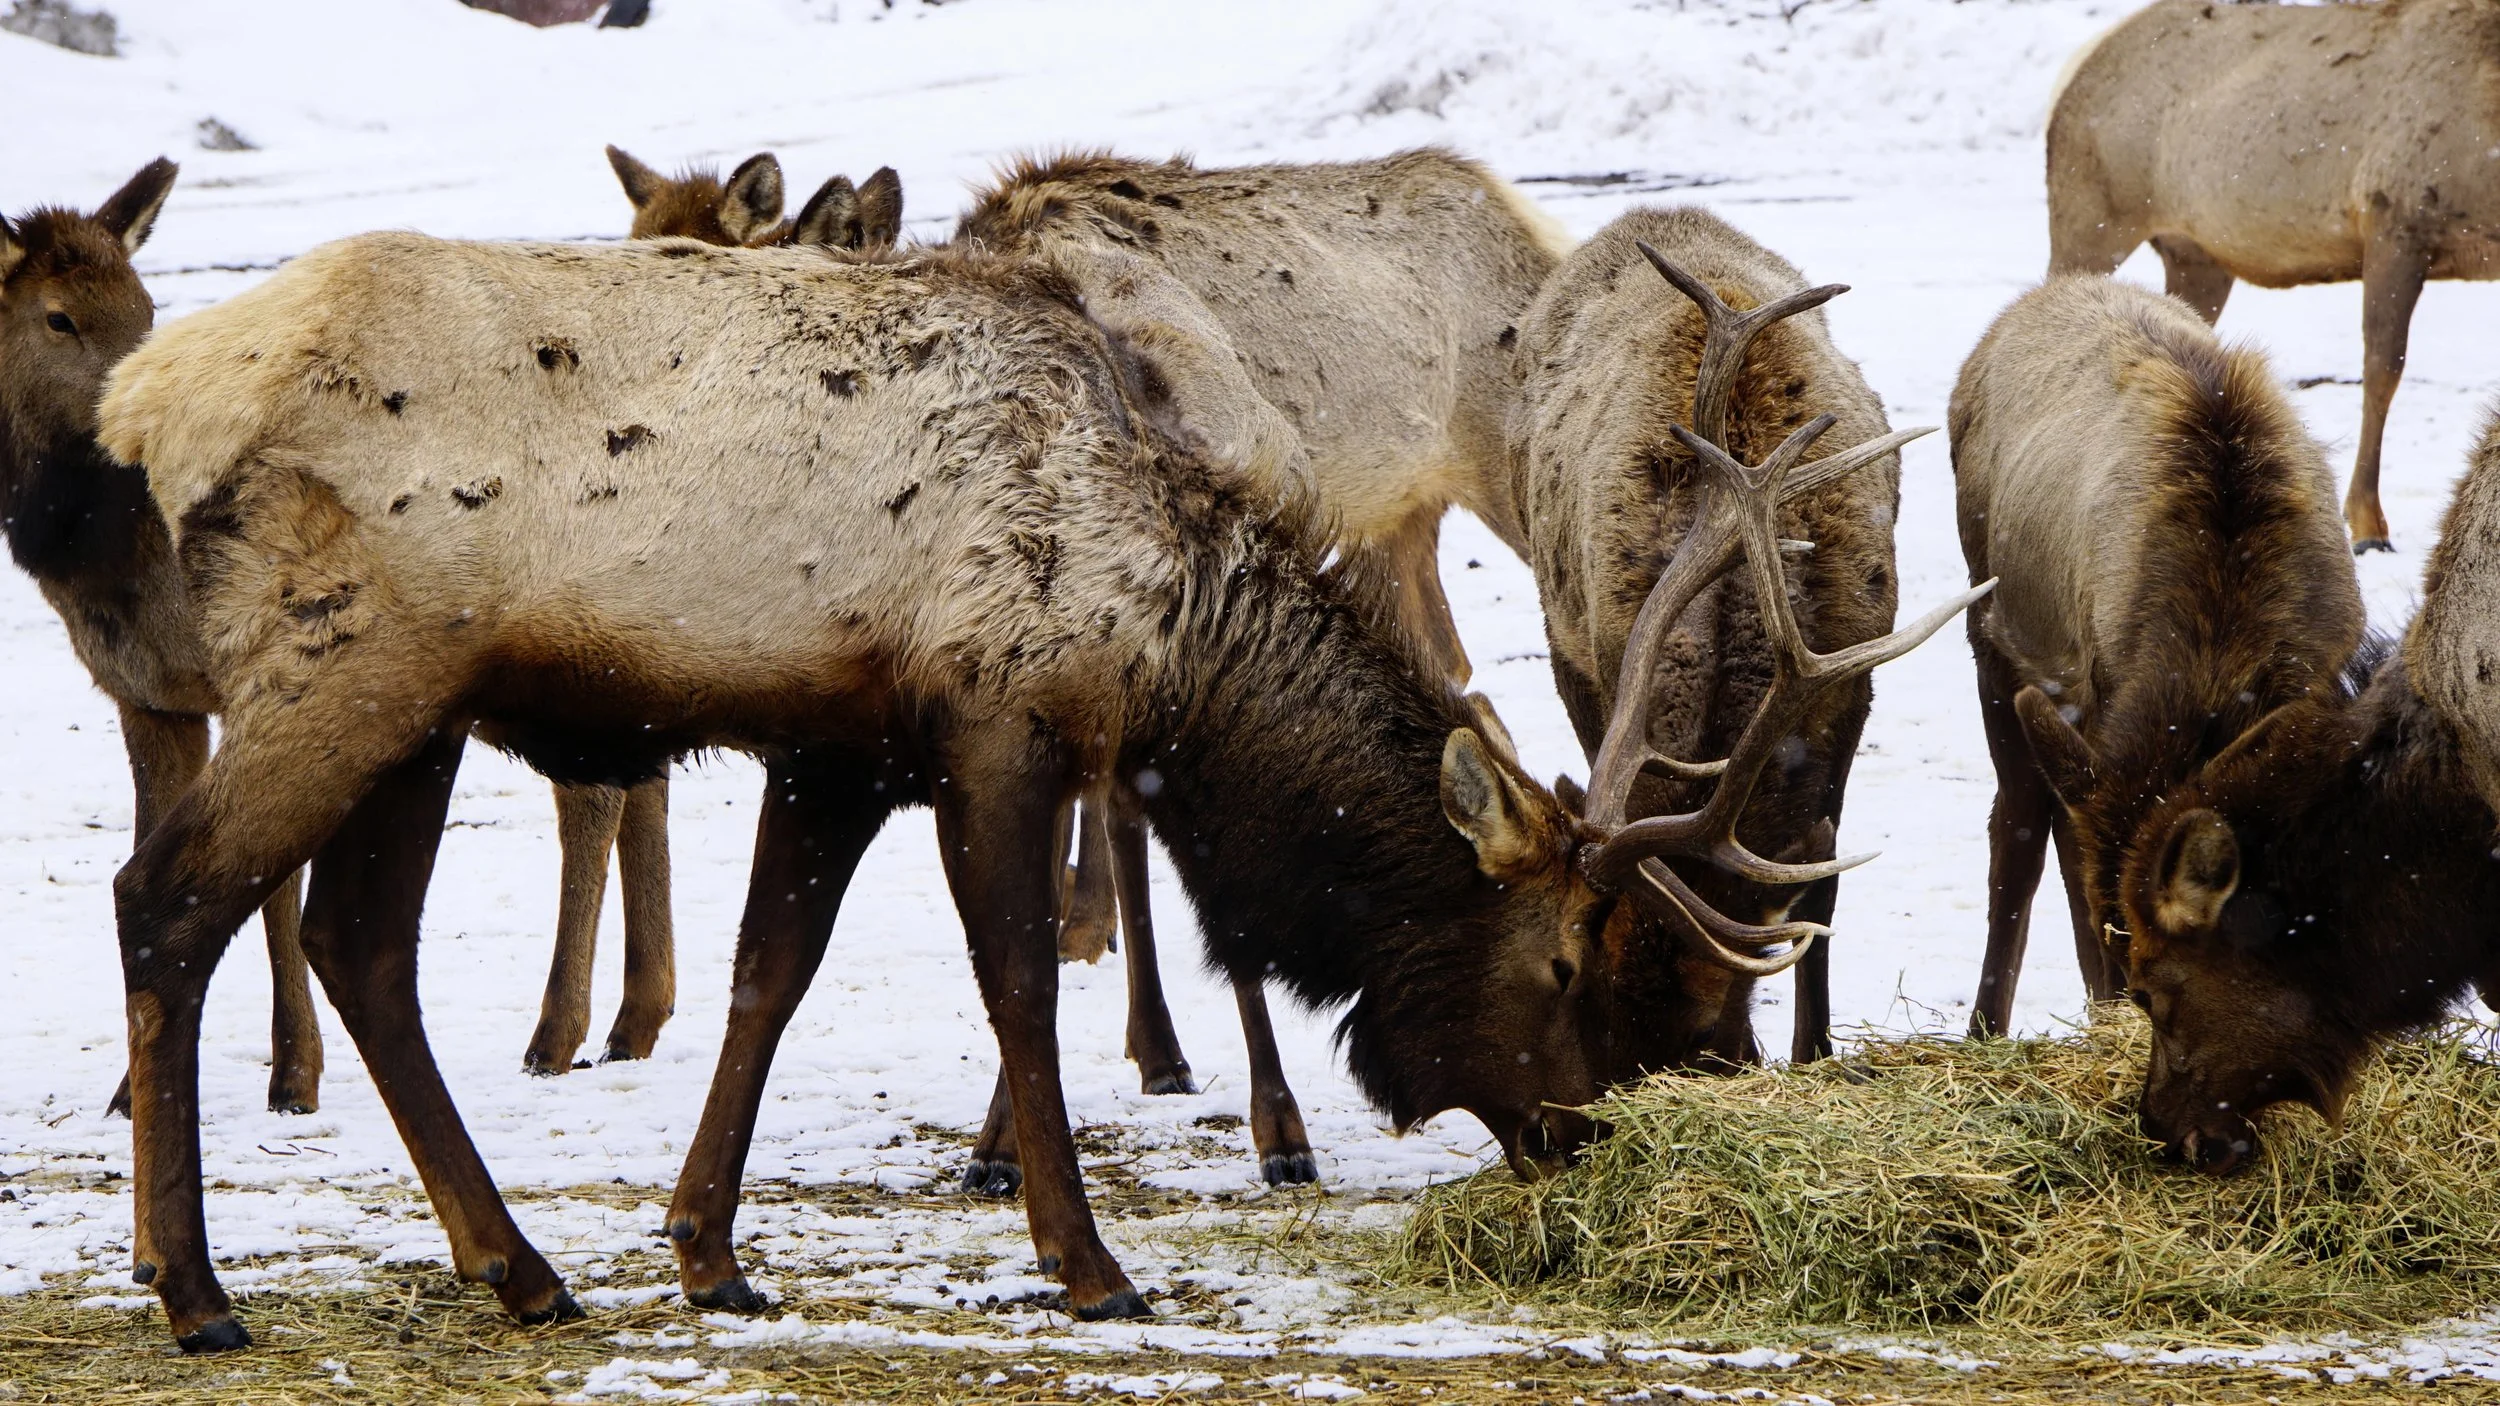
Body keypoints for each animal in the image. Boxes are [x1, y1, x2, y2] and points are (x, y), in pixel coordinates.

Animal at [1507, 207, 1923, 1065]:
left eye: (1697, 1029)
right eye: (1595, 989)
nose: (1730, 1059)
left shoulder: (1851, 688)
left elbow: (1821, 881)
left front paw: (1814, 1050)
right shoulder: (1598, 660)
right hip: (1559, 629)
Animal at [2046, 0, 2500, 553]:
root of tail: (2073, 70)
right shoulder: (2394, 221)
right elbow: (2382, 372)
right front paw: (2367, 524)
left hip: (2197, 259)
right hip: (2090, 217)